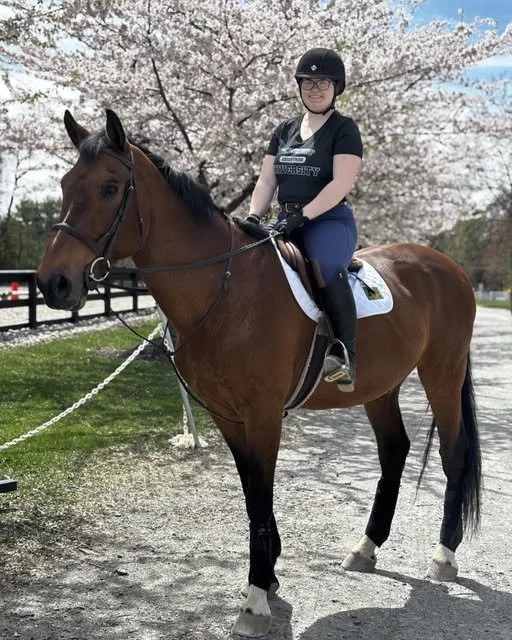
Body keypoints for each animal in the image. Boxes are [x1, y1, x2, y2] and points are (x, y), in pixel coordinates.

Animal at [37, 109, 481, 638]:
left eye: (108, 187)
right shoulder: (228, 416)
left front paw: (254, 600)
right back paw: (366, 547)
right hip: (380, 386)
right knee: (394, 450)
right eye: (66, 184)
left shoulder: (264, 414)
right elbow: (252, 494)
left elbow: (261, 494)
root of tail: (448, 266)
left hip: (442, 374)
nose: (53, 283)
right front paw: (266, 577)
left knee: (453, 454)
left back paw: (444, 556)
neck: (226, 288)